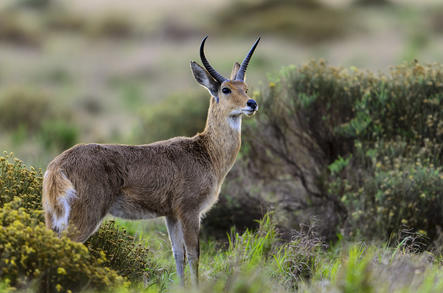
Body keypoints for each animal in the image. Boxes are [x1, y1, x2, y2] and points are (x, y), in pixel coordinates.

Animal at [41, 35, 260, 284]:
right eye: (225, 89)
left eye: (245, 88)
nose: (252, 103)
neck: (206, 152)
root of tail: (58, 165)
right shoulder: (189, 211)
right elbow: (194, 255)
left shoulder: (171, 215)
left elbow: (178, 255)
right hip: (85, 217)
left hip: (53, 218)